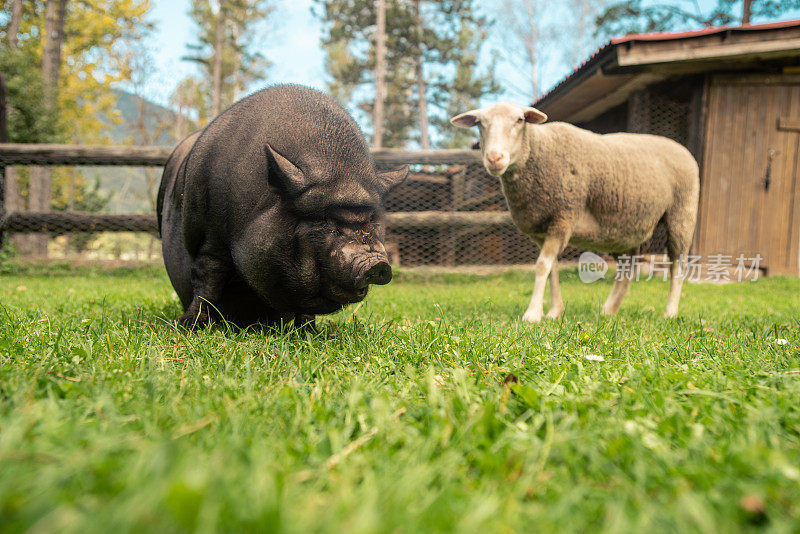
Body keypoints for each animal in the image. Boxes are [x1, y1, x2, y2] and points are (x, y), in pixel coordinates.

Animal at [156, 85, 406, 328]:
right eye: (324, 220)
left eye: (371, 219)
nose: (377, 263)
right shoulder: (212, 234)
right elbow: (208, 280)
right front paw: (184, 327)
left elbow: (305, 310)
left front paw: (309, 332)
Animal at [454, 103, 696, 322]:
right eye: (479, 123)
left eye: (520, 120)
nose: (494, 158)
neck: (540, 152)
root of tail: (681, 148)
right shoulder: (541, 229)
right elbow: (551, 268)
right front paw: (554, 311)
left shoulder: (564, 214)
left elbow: (542, 265)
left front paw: (533, 314)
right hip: (623, 228)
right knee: (628, 267)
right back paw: (609, 310)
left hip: (682, 214)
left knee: (678, 264)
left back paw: (670, 312)